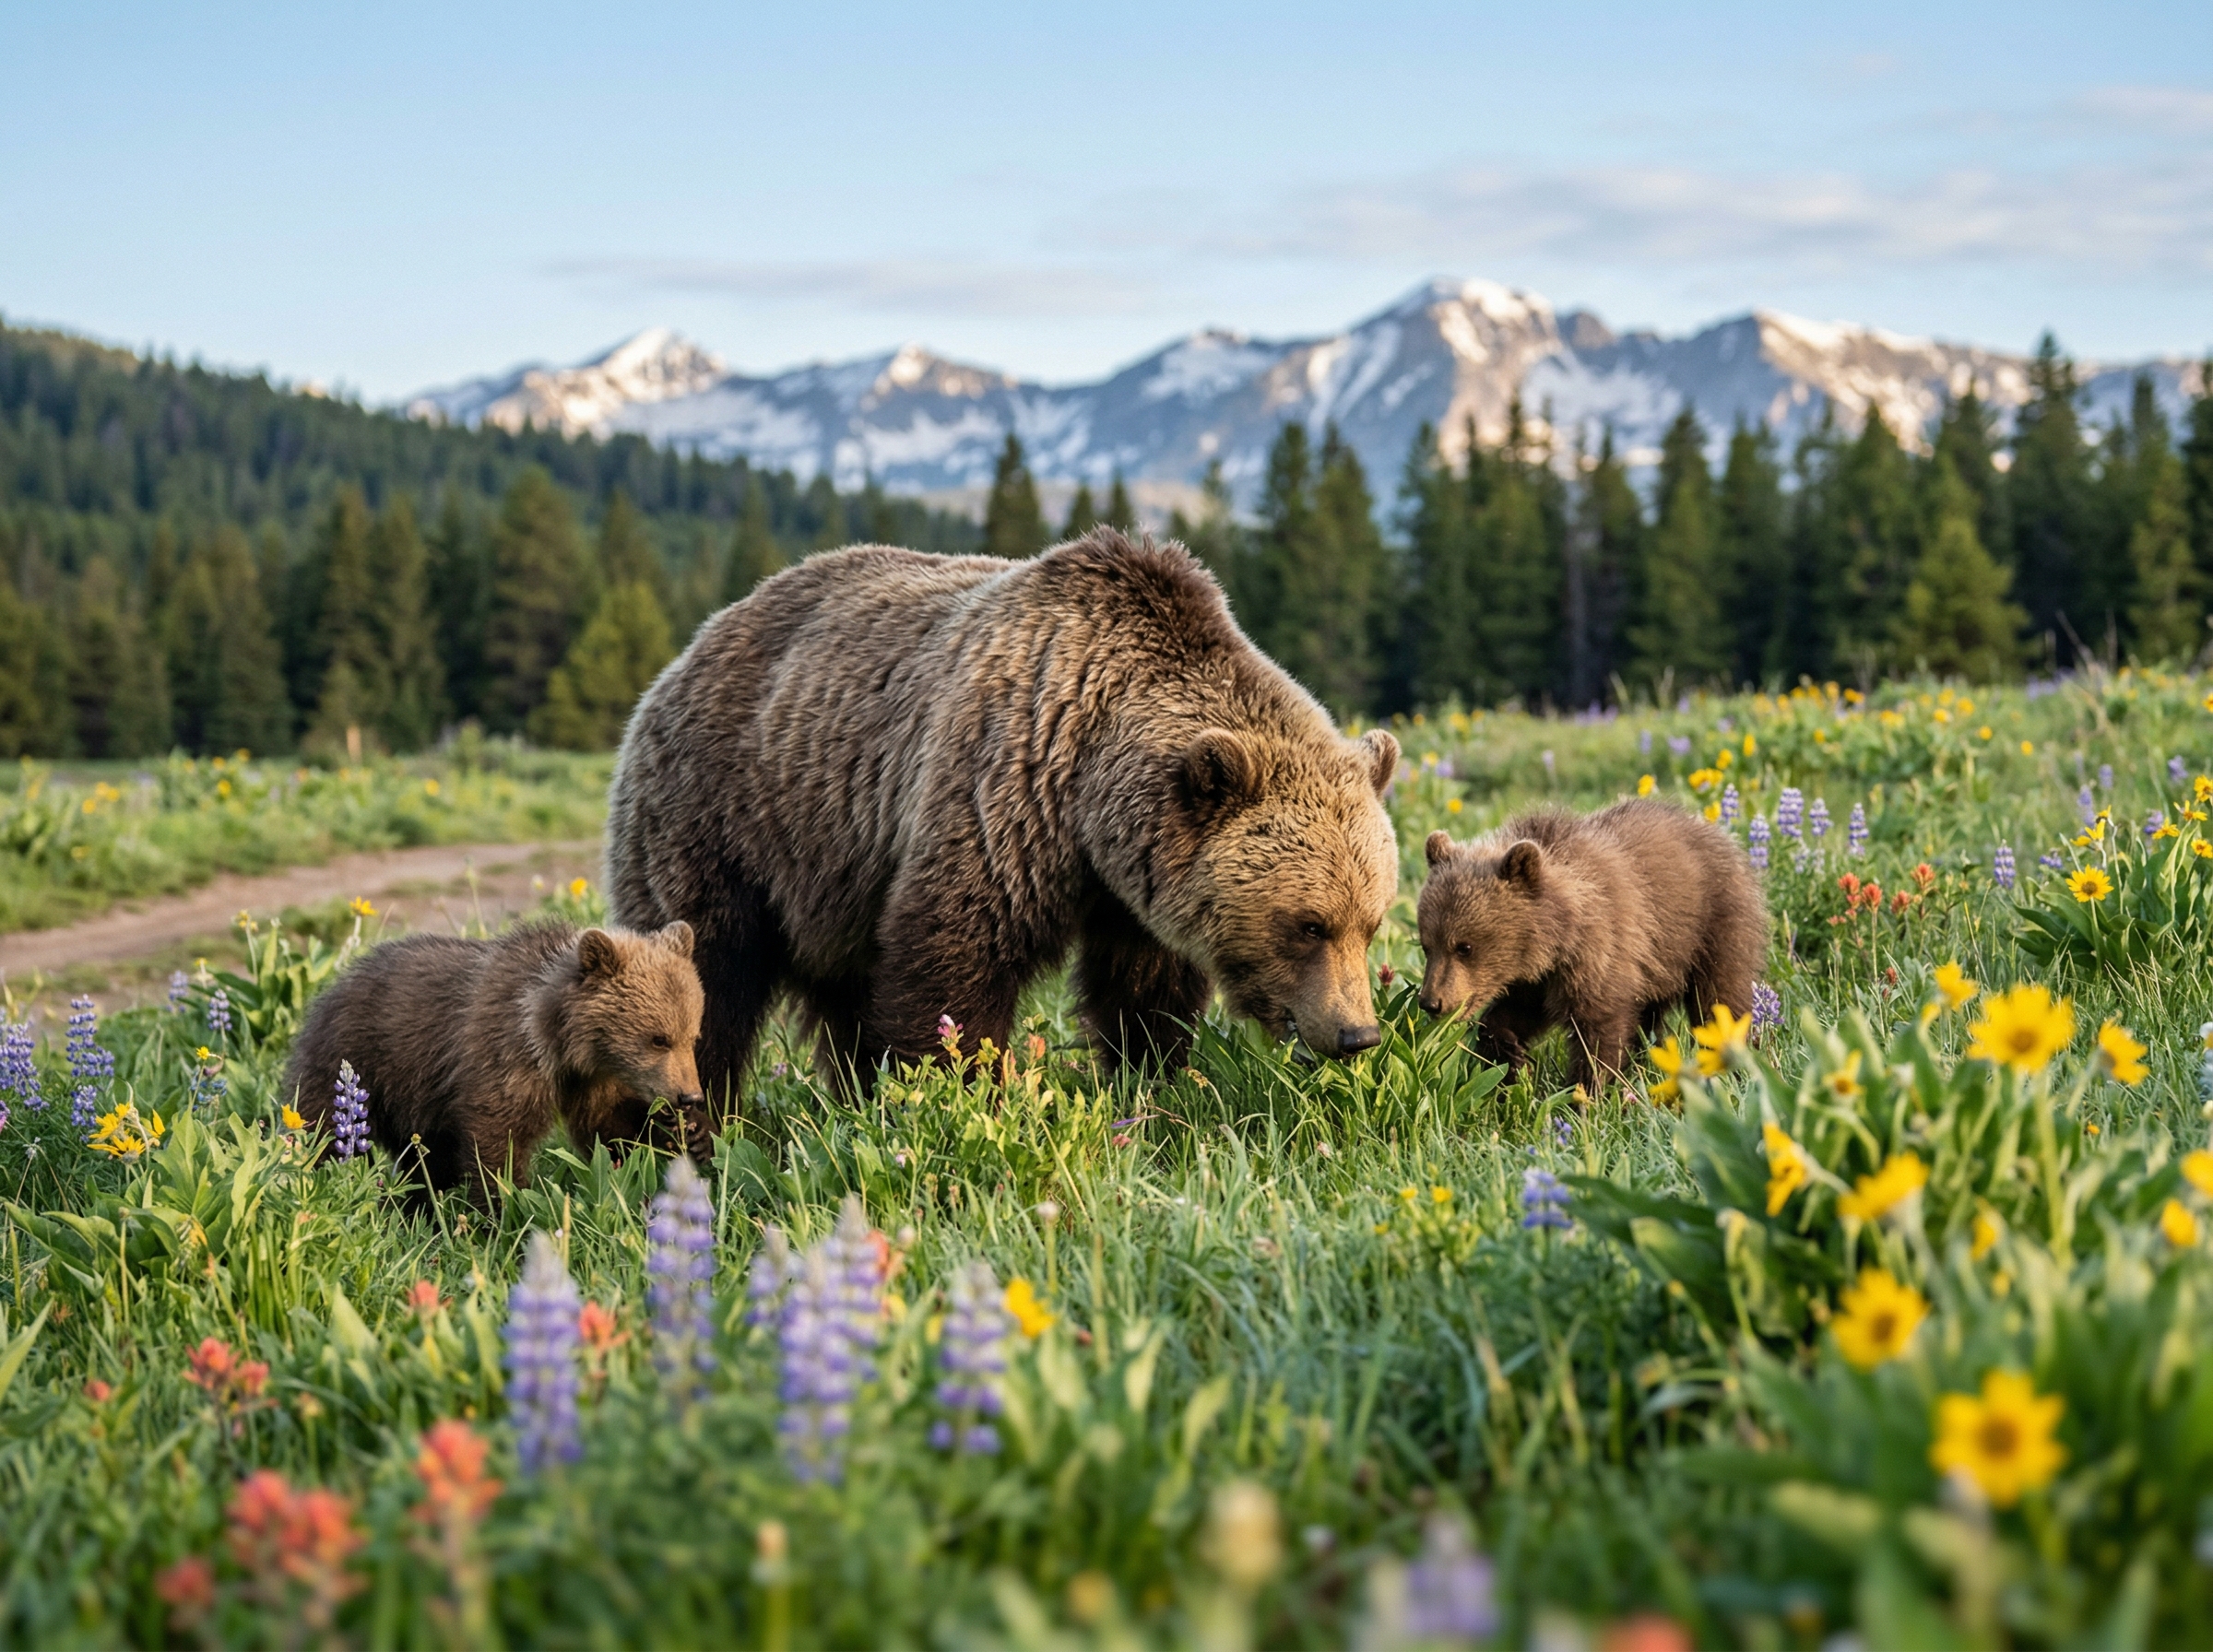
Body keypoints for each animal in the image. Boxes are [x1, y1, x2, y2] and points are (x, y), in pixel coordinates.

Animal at [286, 921, 706, 1200]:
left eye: (692, 1036)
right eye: (658, 1039)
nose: (690, 1096)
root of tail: (334, 984)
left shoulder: (594, 1081)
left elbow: (612, 1131)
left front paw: (687, 1135)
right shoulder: (504, 1054)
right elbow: (497, 1137)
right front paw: (503, 1205)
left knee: (426, 1162)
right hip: (355, 1060)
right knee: (321, 1130)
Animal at [602, 527, 1401, 1110]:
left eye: (1370, 922)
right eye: (1308, 924)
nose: (1357, 1033)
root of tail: (685, 654)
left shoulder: (1138, 882)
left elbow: (1143, 994)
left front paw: (1151, 1083)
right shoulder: (1006, 787)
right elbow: (954, 960)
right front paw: (961, 1093)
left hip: (831, 883)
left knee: (845, 1003)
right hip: (722, 824)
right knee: (705, 979)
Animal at [1415, 798, 1767, 1091]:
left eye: (1464, 947)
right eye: (1426, 945)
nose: (1431, 1002)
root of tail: (1714, 830)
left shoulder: (1599, 956)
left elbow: (1597, 1035)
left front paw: (1585, 1095)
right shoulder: (1536, 980)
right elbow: (1512, 1015)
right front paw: (1510, 1059)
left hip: (1712, 925)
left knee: (1719, 998)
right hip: (1658, 962)